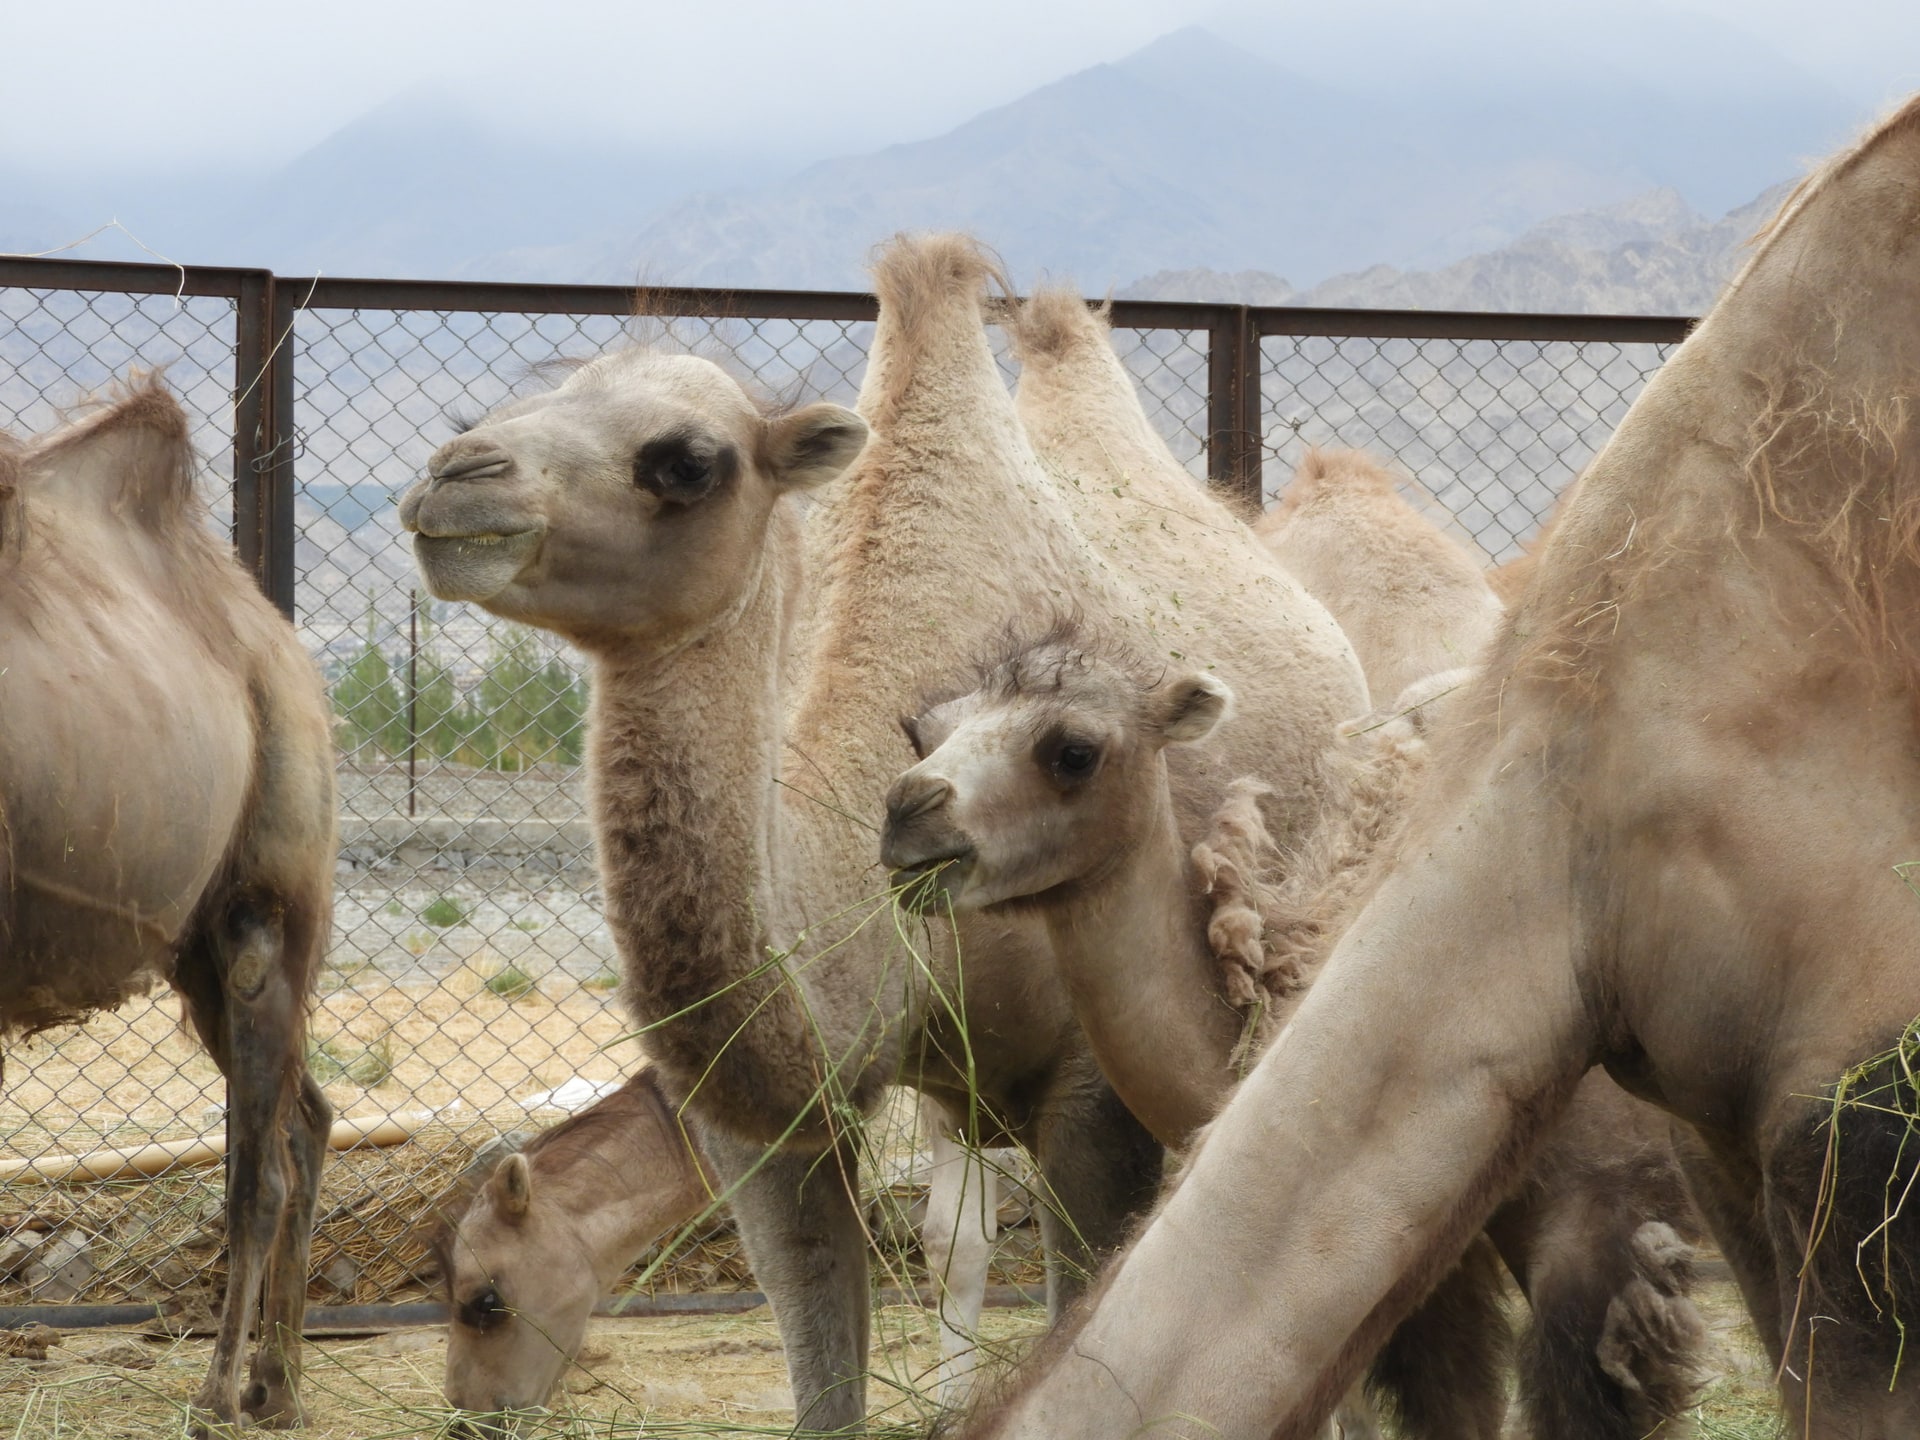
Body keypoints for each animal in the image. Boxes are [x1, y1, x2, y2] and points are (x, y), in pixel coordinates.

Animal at [0, 377, 336, 1434]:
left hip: (270, 895)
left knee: (260, 1168)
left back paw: (222, 1391)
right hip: (195, 955)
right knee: (307, 1119)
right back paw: (279, 1385)